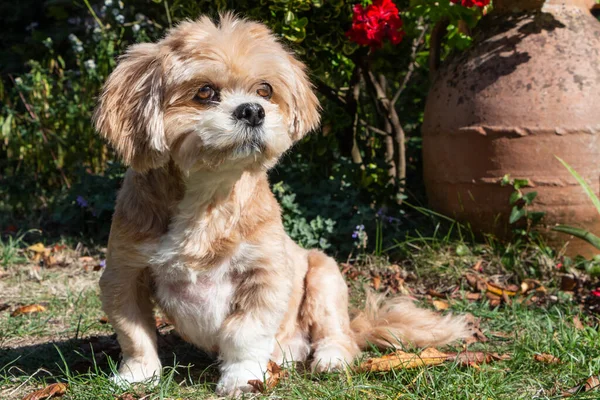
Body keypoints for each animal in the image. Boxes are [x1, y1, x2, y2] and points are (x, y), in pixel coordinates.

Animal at [94, 13, 468, 396]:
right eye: (205, 92)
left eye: (264, 90)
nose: (252, 110)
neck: (208, 200)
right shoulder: (125, 274)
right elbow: (135, 334)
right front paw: (137, 375)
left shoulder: (265, 275)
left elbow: (244, 333)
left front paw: (242, 377)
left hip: (324, 277)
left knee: (338, 336)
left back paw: (329, 359)